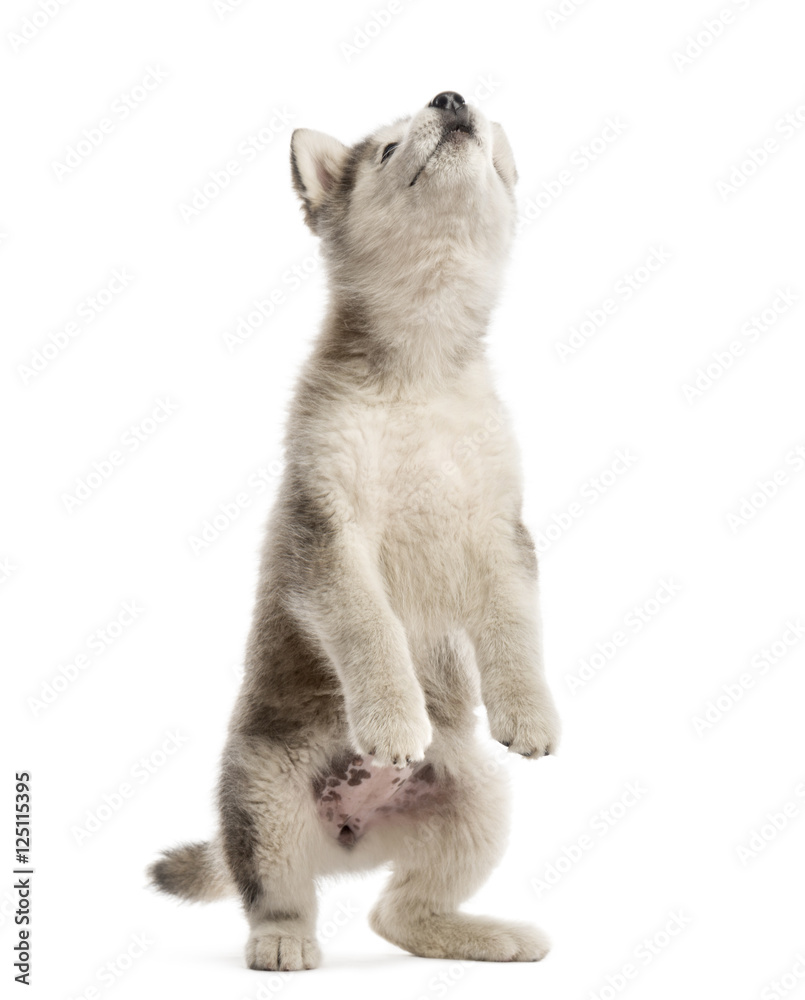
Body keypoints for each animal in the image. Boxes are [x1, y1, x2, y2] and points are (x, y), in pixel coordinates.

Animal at [152, 92, 564, 968]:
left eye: (482, 136)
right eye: (385, 149)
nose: (451, 97)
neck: (423, 373)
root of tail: (351, 835)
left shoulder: (501, 531)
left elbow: (516, 628)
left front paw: (528, 713)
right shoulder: (327, 535)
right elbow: (371, 630)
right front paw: (392, 718)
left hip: (477, 797)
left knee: (396, 913)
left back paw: (486, 934)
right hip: (262, 796)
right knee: (277, 896)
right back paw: (281, 945)